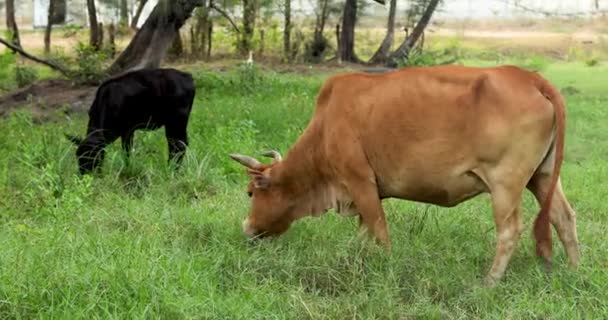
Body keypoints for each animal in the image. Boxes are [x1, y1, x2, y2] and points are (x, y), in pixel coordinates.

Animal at [67, 66, 195, 174]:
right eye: (78, 156)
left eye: (94, 156)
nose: (85, 174)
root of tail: (188, 76)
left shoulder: (128, 129)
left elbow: (127, 151)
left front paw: (128, 169)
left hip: (177, 121)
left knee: (178, 145)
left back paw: (172, 170)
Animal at [232, 65, 580, 284]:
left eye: (250, 192)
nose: (246, 228)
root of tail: (529, 78)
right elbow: (363, 235)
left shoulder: (360, 182)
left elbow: (380, 232)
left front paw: (384, 267)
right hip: (543, 176)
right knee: (563, 218)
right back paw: (574, 270)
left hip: (505, 184)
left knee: (509, 231)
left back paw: (490, 281)